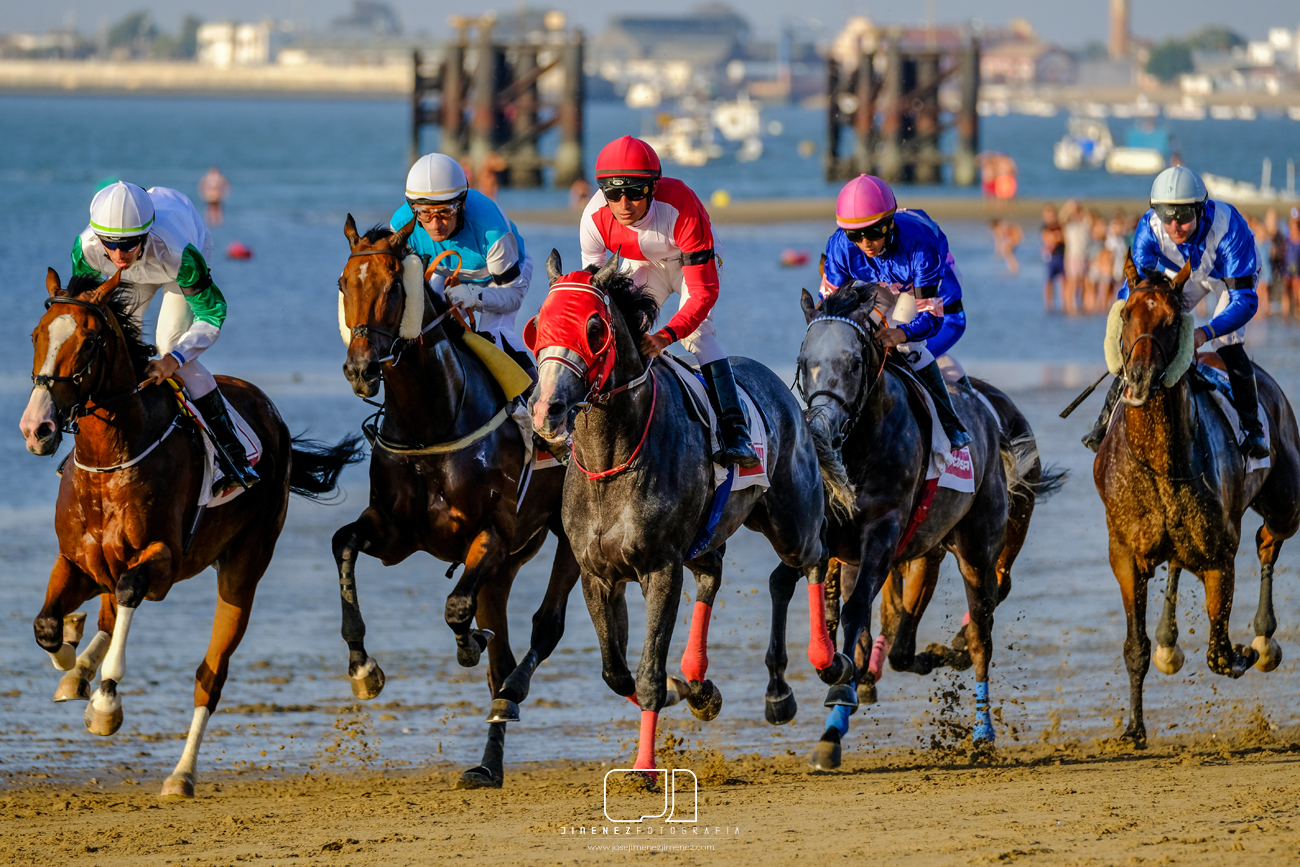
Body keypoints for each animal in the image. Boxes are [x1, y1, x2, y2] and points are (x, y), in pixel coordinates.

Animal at [20, 267, 358, 795]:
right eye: (36, 335)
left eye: (90, 341)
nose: (38, 428)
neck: (111, 461)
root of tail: (272, 413)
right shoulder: (75, 559)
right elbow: (48, 626)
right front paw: (74, 666)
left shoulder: (164, 563)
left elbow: (127, 593)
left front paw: (105, 702)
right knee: (104, 612)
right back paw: (80, 670)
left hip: (244, 567)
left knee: (209, 674)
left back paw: (181, 773)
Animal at [335, 215, 579, 785]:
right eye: (343, 284)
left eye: (392, 288)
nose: (361, 370)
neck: (433, 421)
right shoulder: (395, 533)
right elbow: (343, 545)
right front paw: (362, 666)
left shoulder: (494, 535)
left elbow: (457, 606)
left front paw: (469, 641)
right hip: (504, 570)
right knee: (501, 662)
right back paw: (488, 764)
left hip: (565, 535)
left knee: (545, 627)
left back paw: (510, 689)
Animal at [527, 252, 852, 774]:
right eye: (539, 325)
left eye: (593, 328)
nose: (546, 411)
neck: (611, 460)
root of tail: (789, 396)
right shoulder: (597, 573)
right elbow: (617, 672)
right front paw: (692, 691)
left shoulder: (661, 568)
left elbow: (647, 677)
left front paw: (643, 769)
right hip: (707, 537)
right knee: (712, 574)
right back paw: (701, 680)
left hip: (791, 520)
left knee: (814, 556)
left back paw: (827, 661)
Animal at [790, 282, 1013, 769]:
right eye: (802, 360)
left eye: (854, 363)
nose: (822, 430)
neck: (861, 446)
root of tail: (984, 412)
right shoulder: (832, 540)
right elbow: (835, 616)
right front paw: (830, 671)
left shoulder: (883, 531)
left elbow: (855, 611)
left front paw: (838, 695)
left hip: (977, 549)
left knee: (982, 634)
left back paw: (983, 731)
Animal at [1097, 256, 1300, 748]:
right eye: (1127, 313)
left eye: (1172, 321)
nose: (1139, 379)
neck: (1159, 461)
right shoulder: (1125, 555)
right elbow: (1136, 647)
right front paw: (1134, 728)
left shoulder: (1218, 557)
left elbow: (1221, 653)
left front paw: (1247, 650)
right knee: (1176, 564)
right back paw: (1171, 641)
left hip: (1287, 503)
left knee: (1269, 541)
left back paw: (1264, 639)